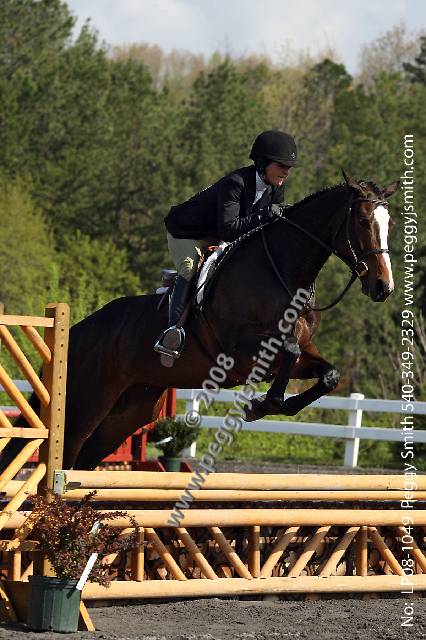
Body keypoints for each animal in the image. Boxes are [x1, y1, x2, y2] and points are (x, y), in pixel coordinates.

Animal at [1, 172, 398, 471]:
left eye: (390, 223)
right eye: (362, 221)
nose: (383, 287)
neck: (283, 273)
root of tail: (77, 331)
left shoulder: (296, 356)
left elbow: (327, 373)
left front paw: (268, 406)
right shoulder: (238, 351)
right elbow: (288, 348)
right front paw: (262, 405)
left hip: (131, 408)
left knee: (85, 458)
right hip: (86, 401)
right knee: (64, 451)